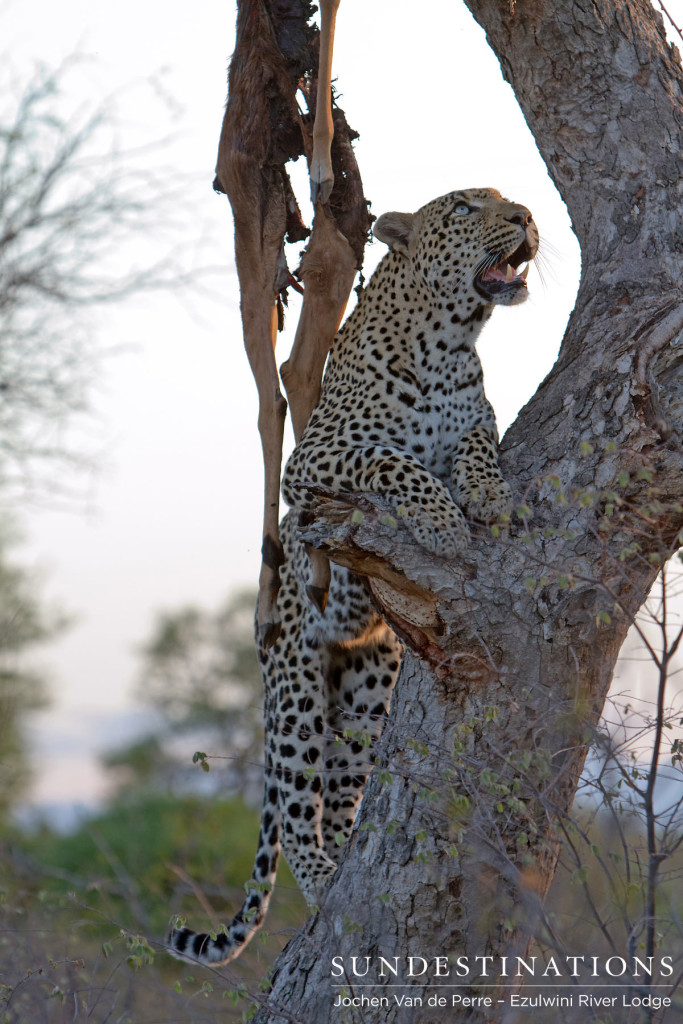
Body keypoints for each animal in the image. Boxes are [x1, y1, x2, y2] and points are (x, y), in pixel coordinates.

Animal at [169, 188, 540, 962]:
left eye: (504, 200)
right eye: (466, 207)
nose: (524, 215)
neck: (451, 342)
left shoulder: (475, 421)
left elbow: (475, 445)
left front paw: (489, 497)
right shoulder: (309, 464)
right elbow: (392, 460)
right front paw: (441, 524)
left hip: (368, 688)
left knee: (342, 792)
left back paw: (343, 860)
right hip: (296, 687)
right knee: (292, 801)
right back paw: (318, 875)